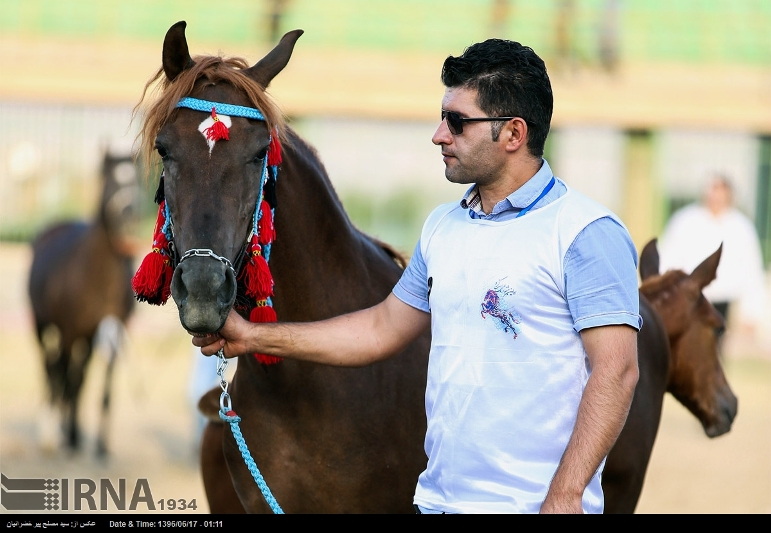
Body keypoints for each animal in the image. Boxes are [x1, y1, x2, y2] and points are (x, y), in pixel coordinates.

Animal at [27, 151, 140, 458]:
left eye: (137, 179)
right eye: (111, 181)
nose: (130, 215)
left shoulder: (112, 333)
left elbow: (101, 389)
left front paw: (99, 446)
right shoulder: (67, 332)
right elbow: (65, 379)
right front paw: (61, 439)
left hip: (86, 337)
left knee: (74, 378)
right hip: (42, 326)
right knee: (51, 371)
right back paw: (50, 431)